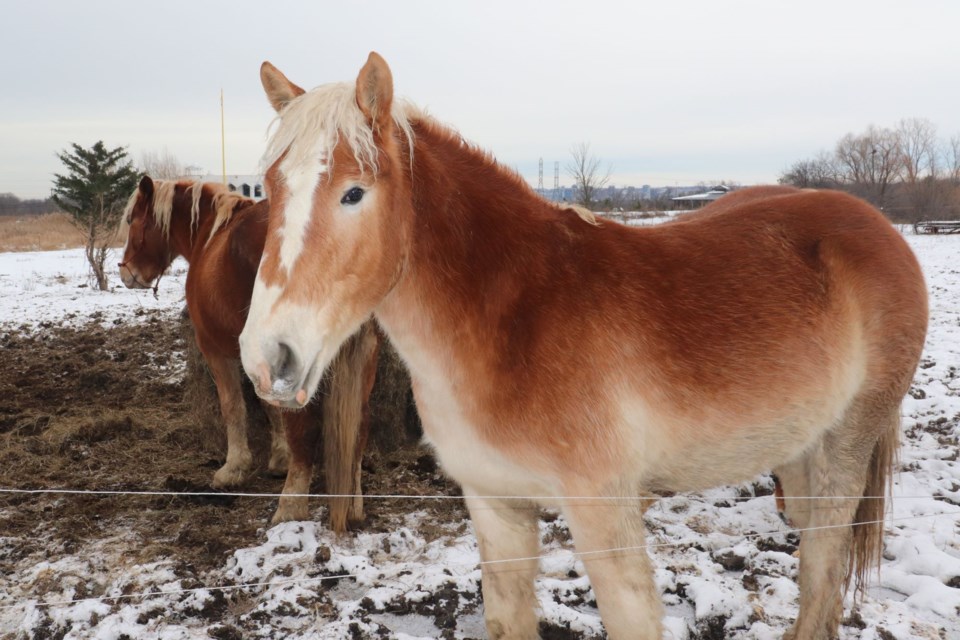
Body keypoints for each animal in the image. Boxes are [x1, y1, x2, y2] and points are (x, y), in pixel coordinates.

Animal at [117, 178, 378, 532]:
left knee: (306, 425)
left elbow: (233, 406)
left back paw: (290, 505)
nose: (126, 272)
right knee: (360, 427)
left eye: (132, 220)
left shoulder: (215, 350)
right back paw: (353, 505)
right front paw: (279, 457)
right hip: (365, 356)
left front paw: (234, 467)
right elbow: (269, 407)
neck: (209, 238)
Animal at [238, 52, 928, 636]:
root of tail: (875, 226)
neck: (511, 324)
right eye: (268, 190)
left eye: (354, 193)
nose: (268, 358)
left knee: (823, 565)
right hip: (797, 455)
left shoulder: (606, 514)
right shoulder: (496, 508)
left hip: (844, 449)